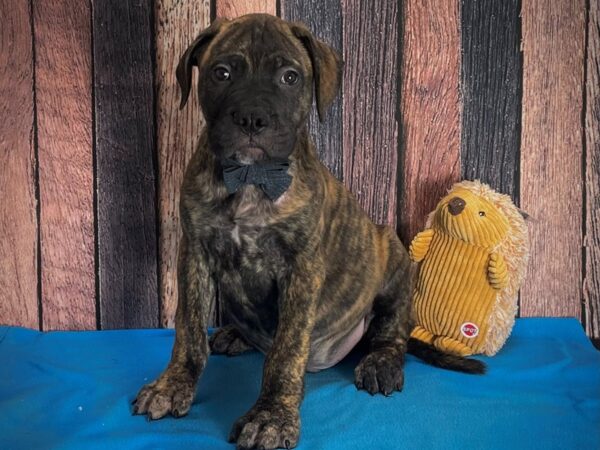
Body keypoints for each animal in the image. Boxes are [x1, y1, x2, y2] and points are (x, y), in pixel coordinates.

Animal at [135, 14, 418, 450]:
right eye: (222, 73)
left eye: (290, 77)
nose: (253, 118)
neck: (252, 179)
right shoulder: (194, 253)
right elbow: (188, 330)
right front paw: (172, 384)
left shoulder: (302, 270)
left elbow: (286, 350)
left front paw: (271, 416)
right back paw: (235, 335)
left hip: (392, 252)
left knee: (393, 328)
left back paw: (381, 362)